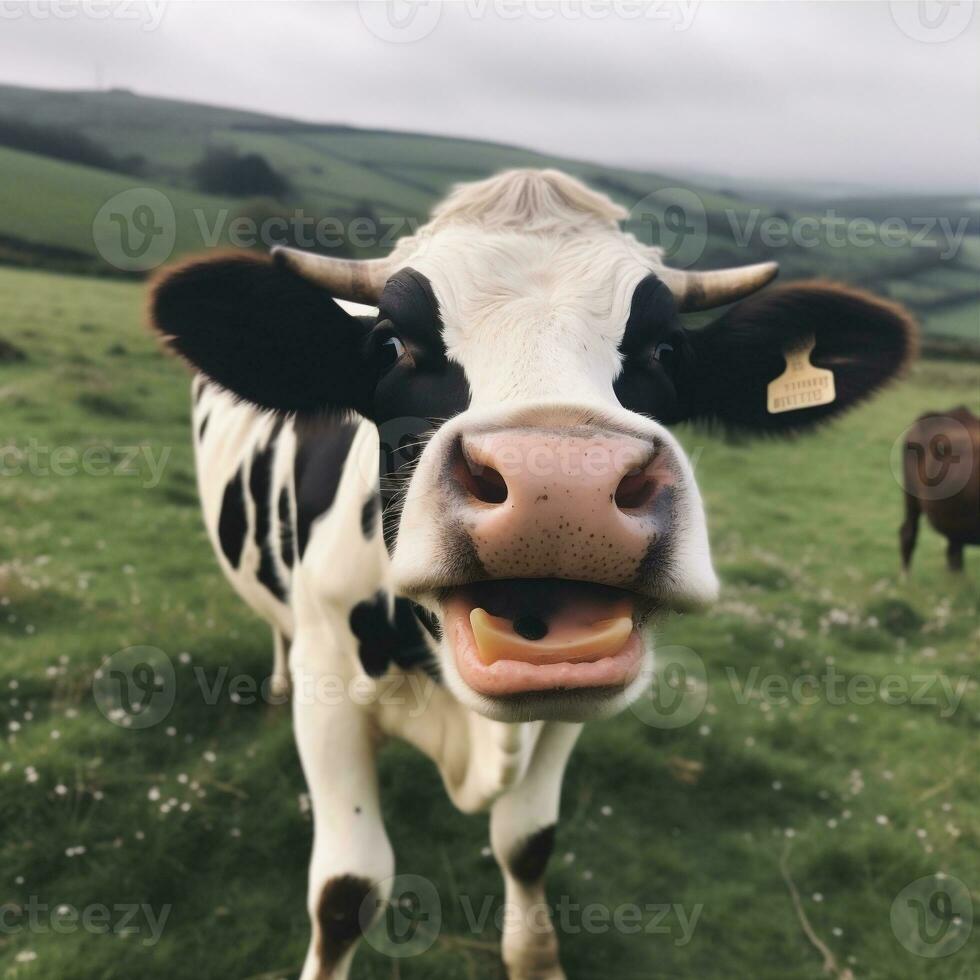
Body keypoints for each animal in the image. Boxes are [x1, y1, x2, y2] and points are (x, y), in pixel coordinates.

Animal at [147, 170, 920, 980]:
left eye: (667, 349)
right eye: (390, 344)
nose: (562, 485)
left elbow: (527, 844)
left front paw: (534, 956)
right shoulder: (329, 684)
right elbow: (346, 890)